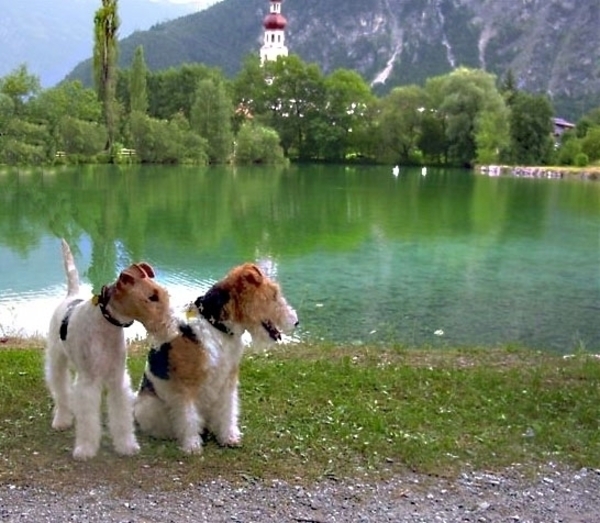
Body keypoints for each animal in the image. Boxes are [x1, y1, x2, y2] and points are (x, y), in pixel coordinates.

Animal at [46, 239, 173, 460]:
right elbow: (88, 419)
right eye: (152, 297)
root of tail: (72, 295)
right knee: (61, 390)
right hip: (57, 360)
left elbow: (121, 416)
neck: (107, 322)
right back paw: (61, 420)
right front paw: (85, 449)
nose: (173, 326)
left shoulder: (117, 378)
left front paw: (126, 446)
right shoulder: (89, 381)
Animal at [134, 264, 298, 456]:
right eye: (273, 295)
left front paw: (229, 438)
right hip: (150, 406)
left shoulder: (228, 379)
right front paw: (192, 446)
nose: (296, 322)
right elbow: (188, 417)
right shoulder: (186, 385)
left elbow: (228, 411)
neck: (215, 326)